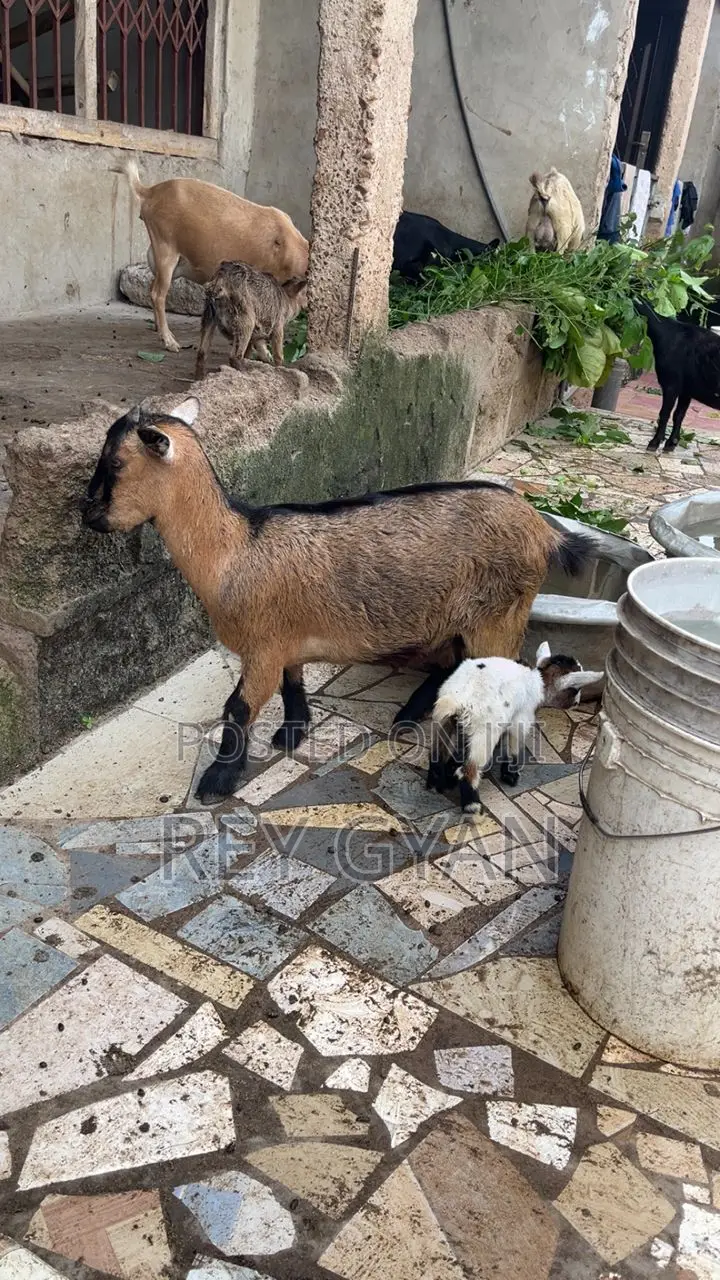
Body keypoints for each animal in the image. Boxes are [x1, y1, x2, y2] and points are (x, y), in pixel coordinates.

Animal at [81, 398, 593, 801]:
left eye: (115, 464)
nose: (88, 515)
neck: (234, 550)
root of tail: (543, 529)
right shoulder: (284, 641)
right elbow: (292, 684)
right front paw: (292, 733)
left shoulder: (262, 646)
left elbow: (239, 707)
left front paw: (217, 781)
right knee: (454, 665)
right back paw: (408, 716)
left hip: (499, 616)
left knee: (508, 681)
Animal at [427, 643, 602, 812]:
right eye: (576, 689)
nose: (577, 703)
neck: (538, 682)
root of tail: (456, 700)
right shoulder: (520, 720)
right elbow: (513, 747)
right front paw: (510, 775)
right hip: (484, 734)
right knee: (469, 770)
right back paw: (472, 805)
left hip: (444, 722)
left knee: (437, 755)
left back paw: (436, 785)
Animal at [635, 298, 720, 452]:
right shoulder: (687, 389)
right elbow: (679, 415)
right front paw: (671, 443)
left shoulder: (671, 384)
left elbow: (664, 413)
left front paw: (654, 443)